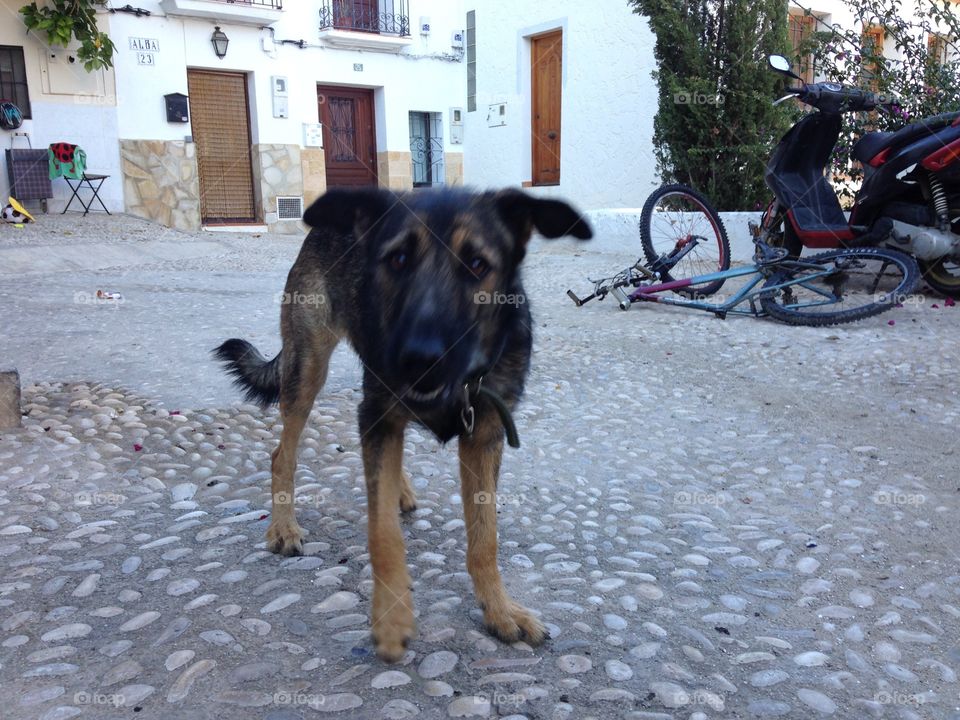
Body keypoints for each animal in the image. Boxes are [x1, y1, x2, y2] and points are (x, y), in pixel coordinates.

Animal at [217, 188, 588, 660]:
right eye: (397, 260)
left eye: (477, 264)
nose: (419, 360)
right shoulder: (379, 416)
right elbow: (383, 534)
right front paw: (392, 617)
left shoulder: (483, 435)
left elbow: (485, 536)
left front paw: (499, 609)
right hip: (307, 369)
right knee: (282, 453)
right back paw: (283, 526)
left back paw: (400, 490)